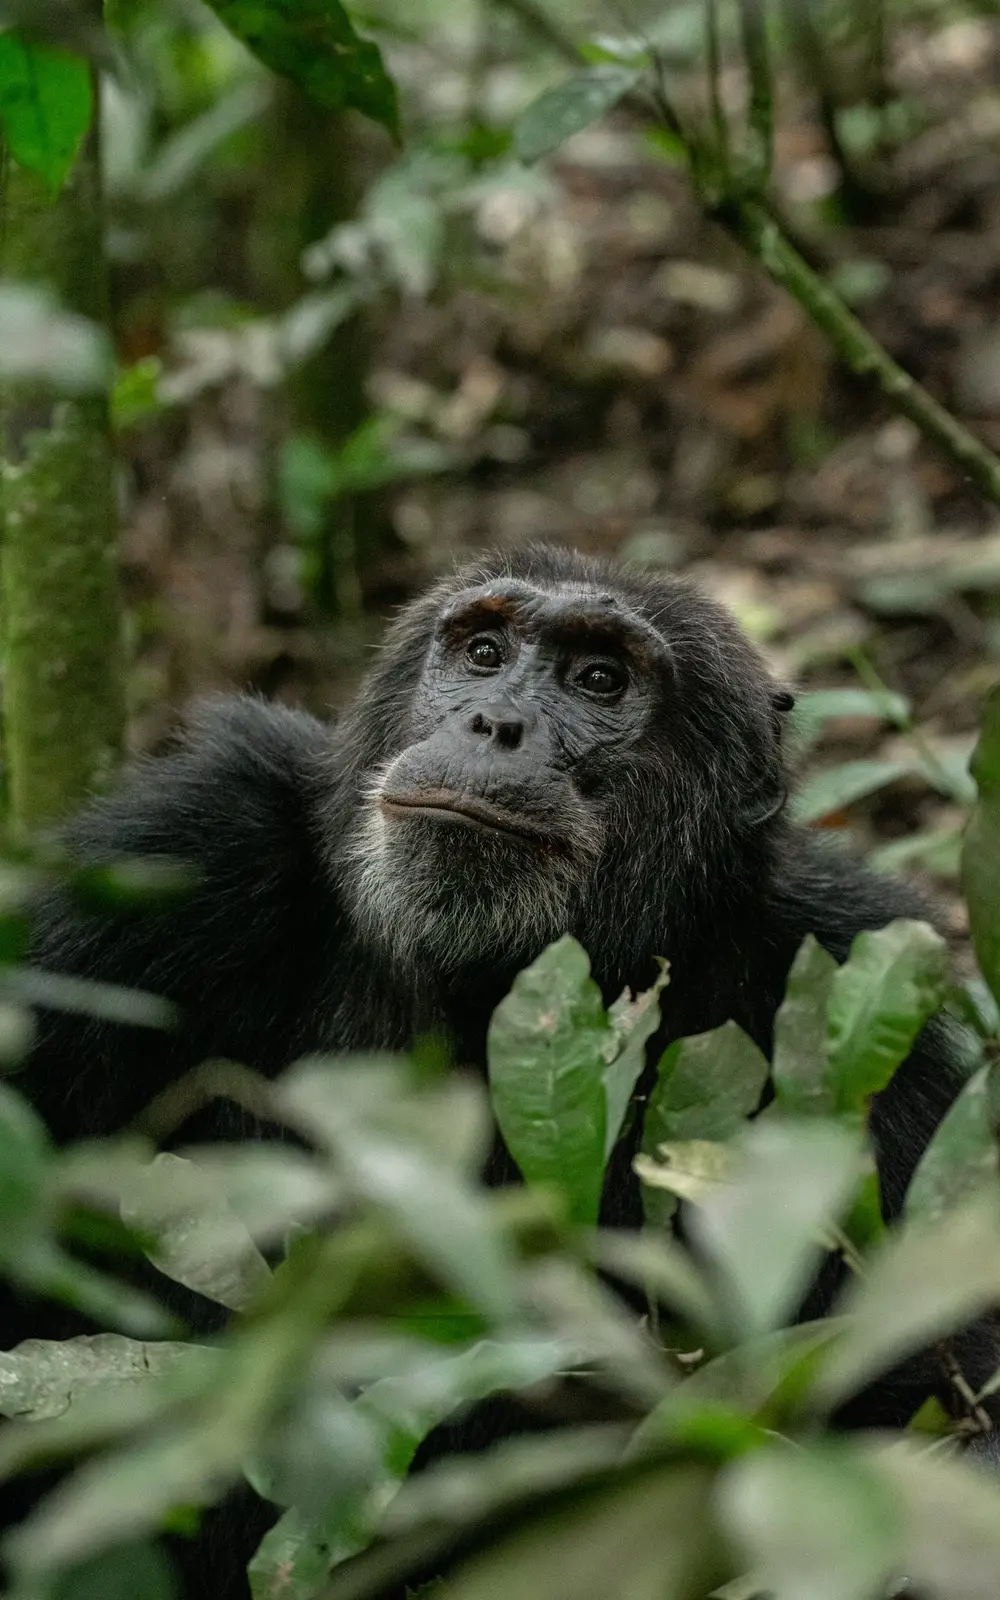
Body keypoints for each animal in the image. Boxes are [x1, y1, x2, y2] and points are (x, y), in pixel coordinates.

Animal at [5, 543, 997, 1598]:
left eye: (599, 679)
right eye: (483, 651)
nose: (495, 722)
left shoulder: (857, 992)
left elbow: (933, 1394)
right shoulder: (179, 850)